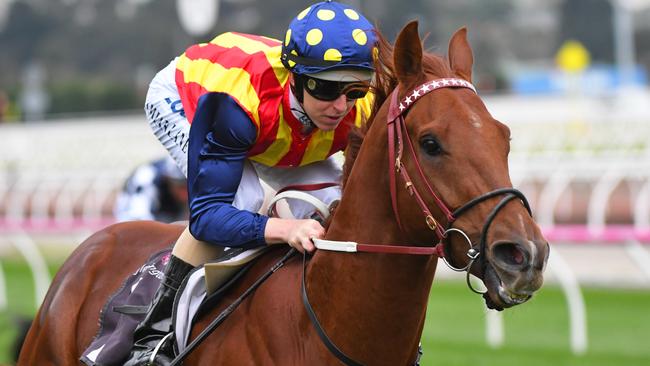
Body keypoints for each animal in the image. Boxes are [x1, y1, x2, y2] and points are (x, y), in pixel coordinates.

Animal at [17, 22, 548, 366]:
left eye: (504, 137)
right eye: (431, 143)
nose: (524, 255)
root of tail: (92, 245)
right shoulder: (229, 120)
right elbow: (208, 213)